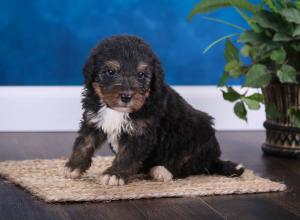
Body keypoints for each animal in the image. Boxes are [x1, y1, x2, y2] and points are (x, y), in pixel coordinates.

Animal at [63, 35, 244, 185]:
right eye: (110, 72)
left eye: (141, 75)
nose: (126, 96)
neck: (118, 111)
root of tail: (214, 159)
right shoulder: (93, 119)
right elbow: (84, 143)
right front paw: (73, 167)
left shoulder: (142, 132)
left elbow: (127, 155)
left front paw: (114, 174)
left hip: (200, 137)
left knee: (188, 165)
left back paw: (162, 171)